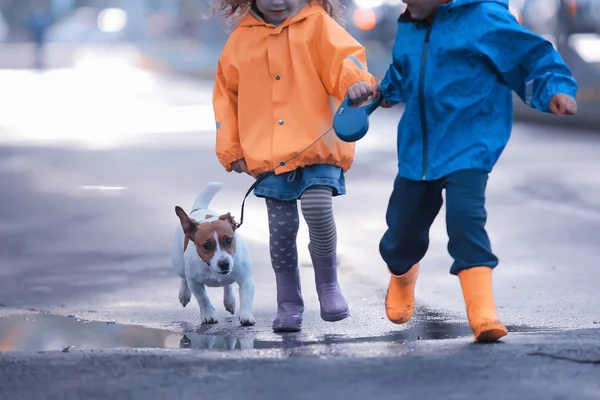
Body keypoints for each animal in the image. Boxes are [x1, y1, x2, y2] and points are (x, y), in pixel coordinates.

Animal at [169, 183, 255, 326]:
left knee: (228, 285)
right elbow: (203, 299)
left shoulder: (246, 279)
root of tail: (199, 208)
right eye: (206, 245)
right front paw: (208, 315)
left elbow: (246, 299)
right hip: (178, 264)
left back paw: (229, 300)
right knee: (183, 278)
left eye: (228, 240)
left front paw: (246, 316)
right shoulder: (194, 283)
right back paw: (184, 294)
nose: (224, 264)